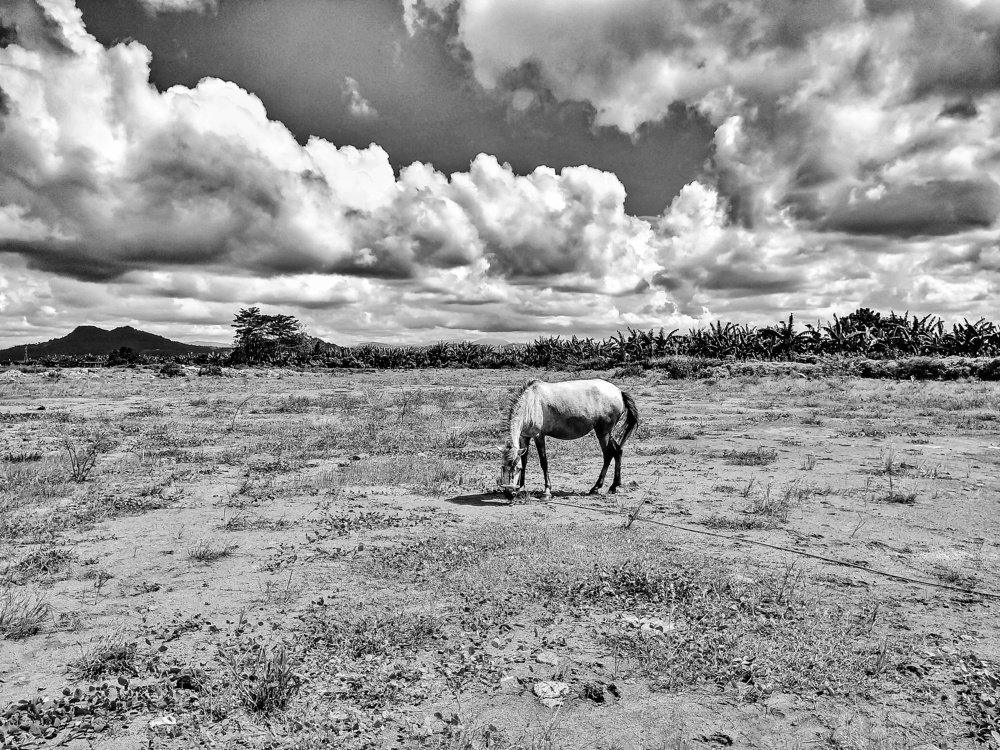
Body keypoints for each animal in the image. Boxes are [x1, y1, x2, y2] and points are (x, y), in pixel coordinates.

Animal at [498, 378, 639, 500]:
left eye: (516, 469)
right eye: (503, 467)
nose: (509, 494)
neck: (531, 403)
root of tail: (619, 392)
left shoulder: (539, 436)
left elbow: (544, 462)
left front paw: (547, 492)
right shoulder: (524, 437)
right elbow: (525, 461)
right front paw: (521, 488)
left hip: (602, 432)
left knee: (608, 454)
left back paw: (596, 487)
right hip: (607, 433)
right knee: (617, 451)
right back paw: (614, 486)